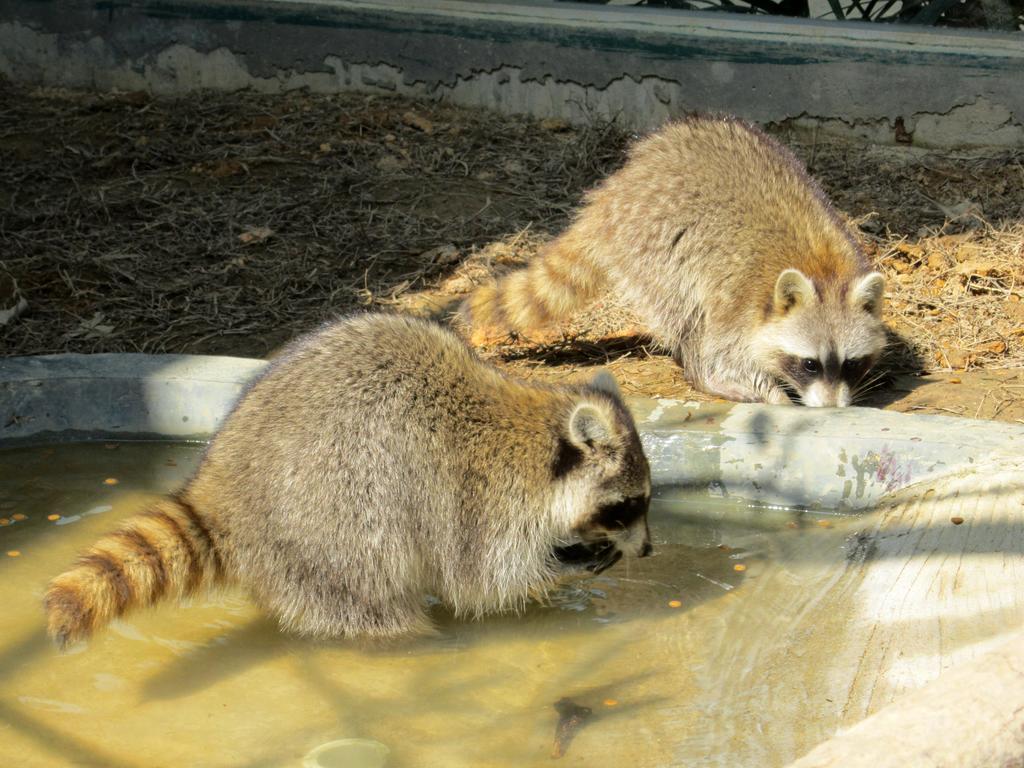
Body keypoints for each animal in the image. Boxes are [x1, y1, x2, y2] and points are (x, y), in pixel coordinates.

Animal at [44, 313, 651, 651]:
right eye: (628, 505)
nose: (648, 550)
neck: (538, 433)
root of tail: (221, 489)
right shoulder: (479, 498)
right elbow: (486, 577)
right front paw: (562, 564)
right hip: (333, 529)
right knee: (370, 600)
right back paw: (414, 642)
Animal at [460, 115, 884, 409]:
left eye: (851, 363)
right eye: (810, 364)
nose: (832, 409)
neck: (823, 270)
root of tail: (618, 187)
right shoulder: (738, 298)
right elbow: (724, 348)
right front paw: (764, 388)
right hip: (653, 242)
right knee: (685, 310)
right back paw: (700, 367)